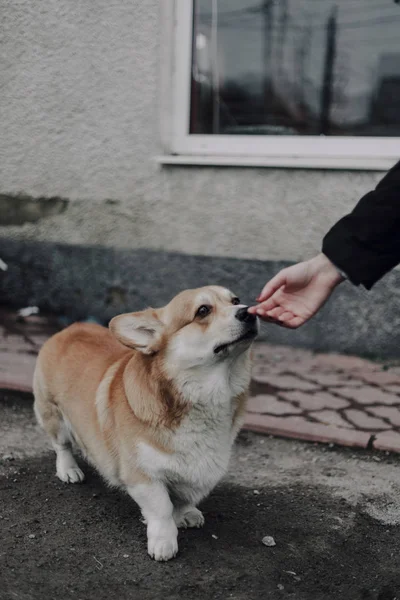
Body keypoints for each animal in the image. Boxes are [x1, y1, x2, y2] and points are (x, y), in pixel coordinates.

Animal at [34, 288, 260, 560]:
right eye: (203, 310)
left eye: (235, 300)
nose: (249, 312)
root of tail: (68, 330)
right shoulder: (142, 474)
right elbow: (162, 509)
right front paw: (164, 542)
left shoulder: (200, 469)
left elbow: (184, 498)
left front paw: (186, 514)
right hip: (52, 414)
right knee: (62, 446)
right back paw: (69, 470)